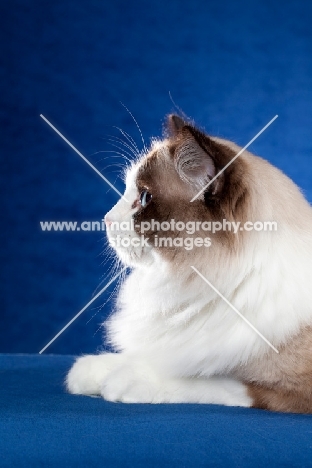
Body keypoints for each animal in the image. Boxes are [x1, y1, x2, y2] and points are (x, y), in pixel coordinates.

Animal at [66, 114, 312, 414]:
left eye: (144, 198)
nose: (106, 219)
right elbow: (145, 357)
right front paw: (91, 372)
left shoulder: (290, 391)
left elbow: (210, 381)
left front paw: (125, 381)